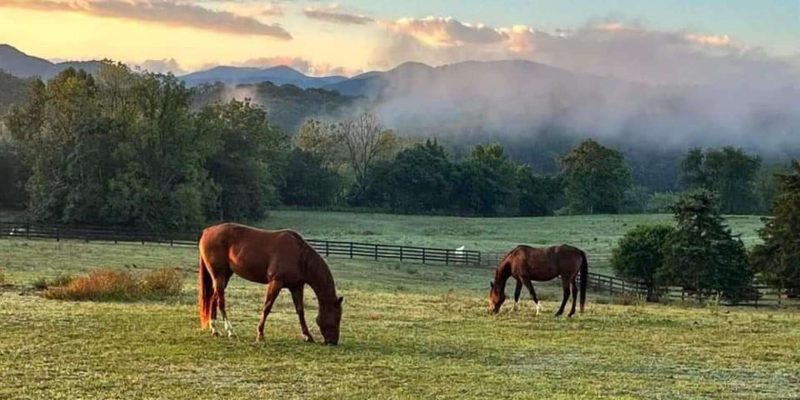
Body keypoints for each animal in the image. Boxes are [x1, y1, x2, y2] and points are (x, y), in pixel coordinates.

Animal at [198, 222, 344, 345]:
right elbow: (267, 307)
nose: (333, 341)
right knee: (220, 301)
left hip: (225, 276)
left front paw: (308, 336)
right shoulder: (276, 282)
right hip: (219, 276)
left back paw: (215, 330)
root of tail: (207, 231)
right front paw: (260, 335)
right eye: (337, 317)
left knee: (213, 299)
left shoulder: (296, 287)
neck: (299, 256)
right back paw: (231, 332)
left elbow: (300, 311)